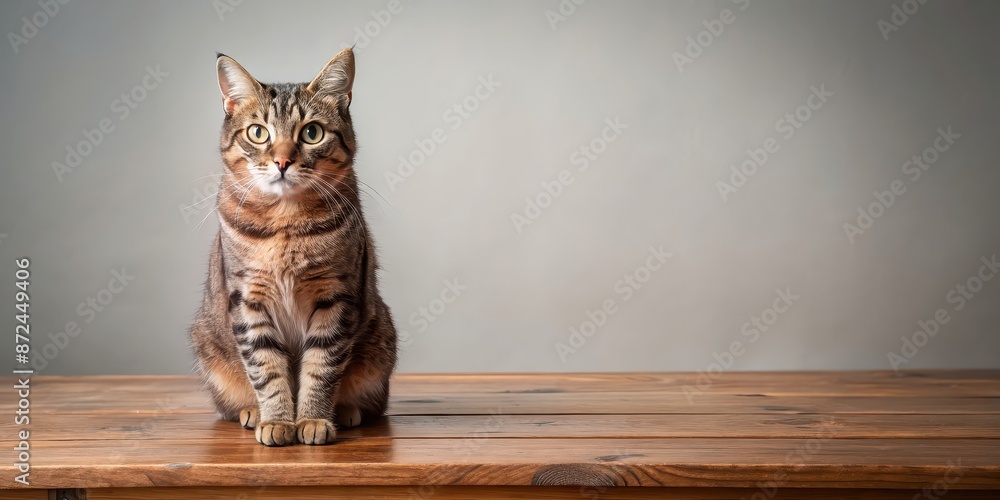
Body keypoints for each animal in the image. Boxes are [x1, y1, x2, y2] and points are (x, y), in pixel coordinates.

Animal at [189, 48, 396, 448]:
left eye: (312, 133)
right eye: (258, 132)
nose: (283, 161)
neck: (285, 224)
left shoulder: (335, 296)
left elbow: (321, 366)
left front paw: (313, 419)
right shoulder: (248, 299)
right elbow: (266, 368)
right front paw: (277, 420)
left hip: (381, 344)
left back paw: (345, 411)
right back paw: (252, 412)